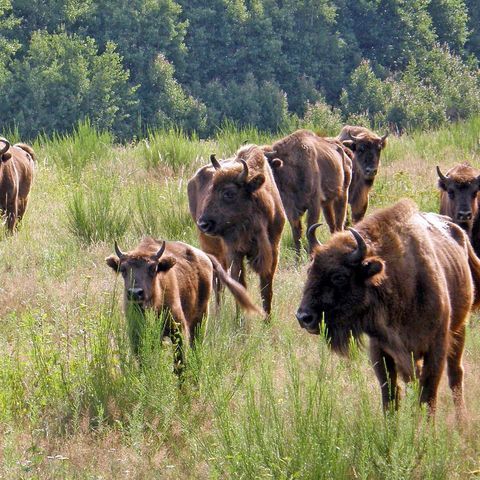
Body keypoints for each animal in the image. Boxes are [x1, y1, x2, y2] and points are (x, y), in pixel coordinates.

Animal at [107, 238, 260, 366]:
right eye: (123, 269)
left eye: (153, 268)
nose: (135, 292)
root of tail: (204, 256)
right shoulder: (136, 334)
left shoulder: (179, 329)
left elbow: (179, 363)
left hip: (201, 319)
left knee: (196, 348)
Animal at [262, 127, 352, 255]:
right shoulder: (290, 208)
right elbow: (297, 232)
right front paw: (298, 256)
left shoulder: (314, 204)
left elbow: (310, 228)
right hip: (327, 203)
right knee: (332, 223)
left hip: (342, 194)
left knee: (340, 221)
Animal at [296, 199, 480, 416]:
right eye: (310, 270)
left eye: (339, 276)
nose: (303, 317)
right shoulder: (381, 351)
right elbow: (390, 396)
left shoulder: (436, 348)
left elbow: (428, 397)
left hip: (459, 329)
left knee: (456, 375)